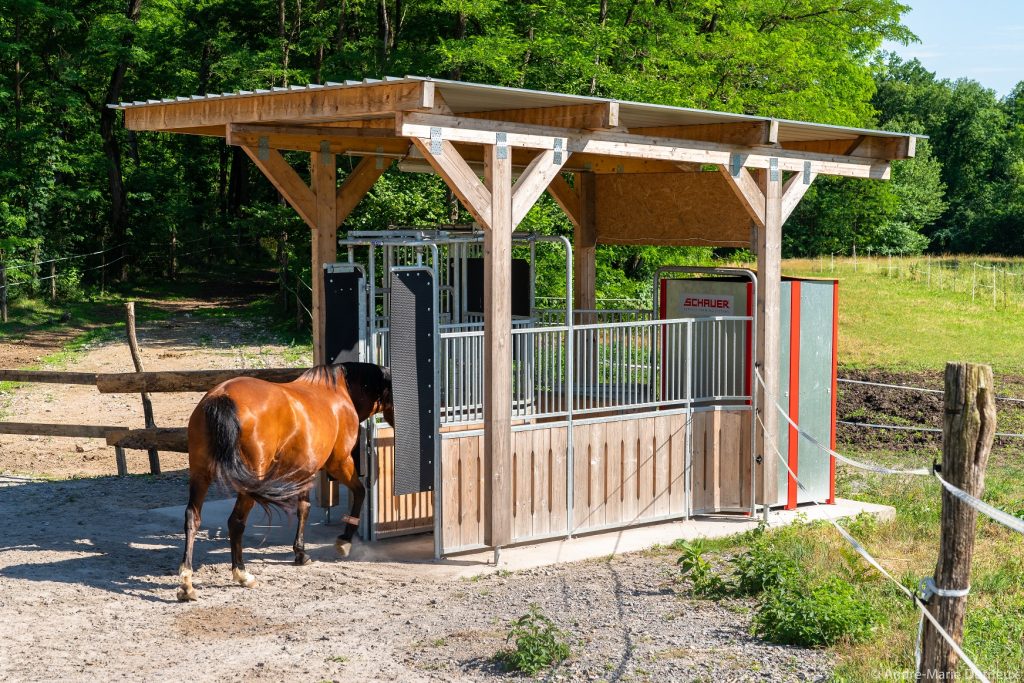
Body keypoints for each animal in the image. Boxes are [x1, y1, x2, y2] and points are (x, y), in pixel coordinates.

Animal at [176, 362, 393, 602]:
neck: (340, 391)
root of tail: (221, 397)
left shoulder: (306, 471)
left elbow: (304, 508)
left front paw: (300, 553)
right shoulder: (340, 463)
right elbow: (360, 492)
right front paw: (344, 541)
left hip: (200, 474)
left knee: (193, 518)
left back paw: (187, 583)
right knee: (236, 522)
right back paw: (242, 574)